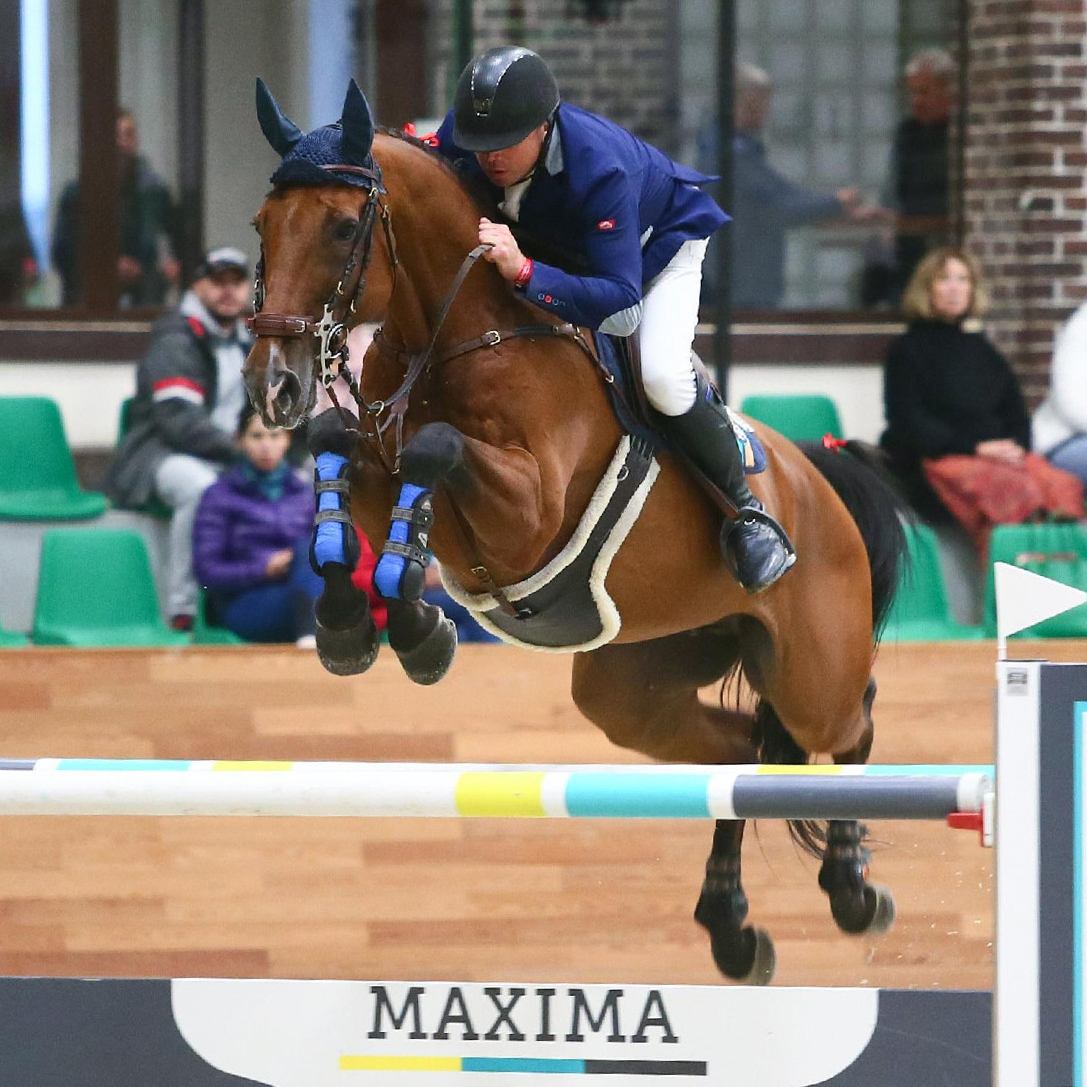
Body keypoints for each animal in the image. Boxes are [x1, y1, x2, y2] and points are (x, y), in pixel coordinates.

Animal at [242, 80, 908, 985]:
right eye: (261, 226)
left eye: (344, 228)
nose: (272, 387)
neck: (456, 335)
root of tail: (818, 476)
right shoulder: (378, 461)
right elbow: (337, 447)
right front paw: (360, 625)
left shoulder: (528, 514)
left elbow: (436, 448)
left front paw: (413, 625)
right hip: (635, 692)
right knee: (742, 756)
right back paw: (731, 926)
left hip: (811, 665)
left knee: (845, 725)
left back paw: (851, 889)